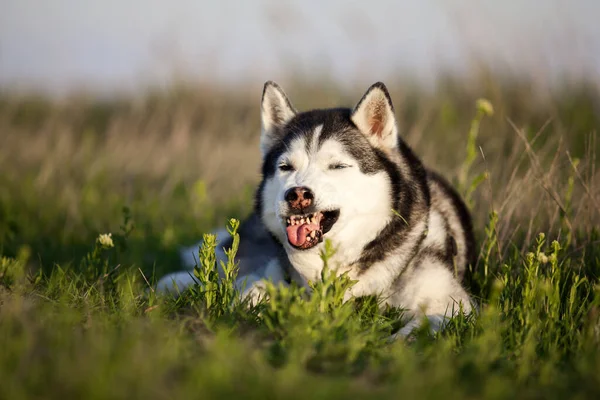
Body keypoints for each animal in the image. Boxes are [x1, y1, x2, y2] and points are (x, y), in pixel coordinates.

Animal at [157, 81, 476, 338]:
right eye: (286, 167)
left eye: (337, 166)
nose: (298, 195)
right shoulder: (274, 275)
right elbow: (251, 292)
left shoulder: (453, 304)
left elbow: (419, 328)